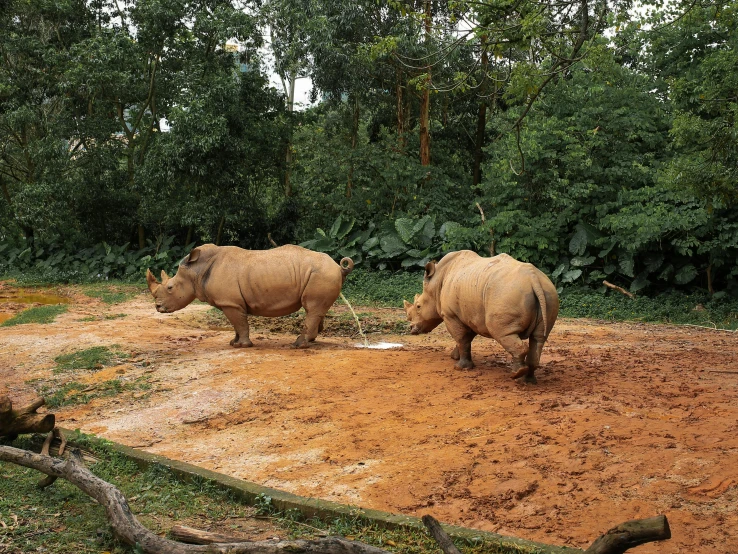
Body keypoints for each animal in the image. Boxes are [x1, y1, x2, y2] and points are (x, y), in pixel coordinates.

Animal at [147, 245, 354, 348]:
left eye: (170, 287)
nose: (158, 307)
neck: (196, 271)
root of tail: (338, 267)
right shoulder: (231, 303)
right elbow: (236, 326)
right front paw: (233, 343)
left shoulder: (230, 303)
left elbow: (240, 323)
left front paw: (243, 346)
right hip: (321, 274)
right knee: (316, 310)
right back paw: (308, 341)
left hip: (322, 274)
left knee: (311, 309)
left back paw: (298, 345)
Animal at [406, 249, 556, 380]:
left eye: (418, 306)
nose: (411, 329)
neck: (436, 283)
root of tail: (533, 278)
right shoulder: (470, 316)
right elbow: (466, 339)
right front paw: (455, 356)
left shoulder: (451, 315)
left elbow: (461, 338)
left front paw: (460, 367)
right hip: (548, 292)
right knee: (539, 338)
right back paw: (528, 380)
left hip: (506, 294)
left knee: (500, 331)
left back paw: (515, 375)